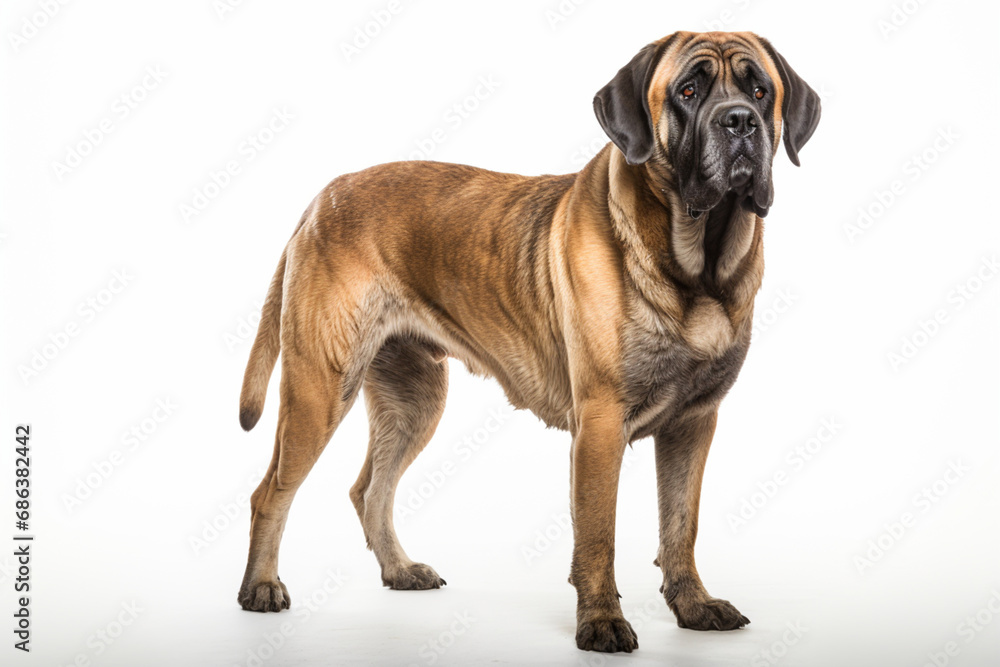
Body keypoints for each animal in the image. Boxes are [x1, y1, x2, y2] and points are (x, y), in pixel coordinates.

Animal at [236, 30, 820, 652]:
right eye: (688, 90)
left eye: (760, 91)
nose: (740, 121)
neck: (695, 264)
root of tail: (321, 199)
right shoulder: (601, 425)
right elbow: (599, 535)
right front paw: (601, 622)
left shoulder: (693, 424)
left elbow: (680, 524)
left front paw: (693, 605)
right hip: (321, 389)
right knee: (271, 492)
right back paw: (261, 587)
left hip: (414, 399)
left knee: (370, 489)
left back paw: (399, 569)